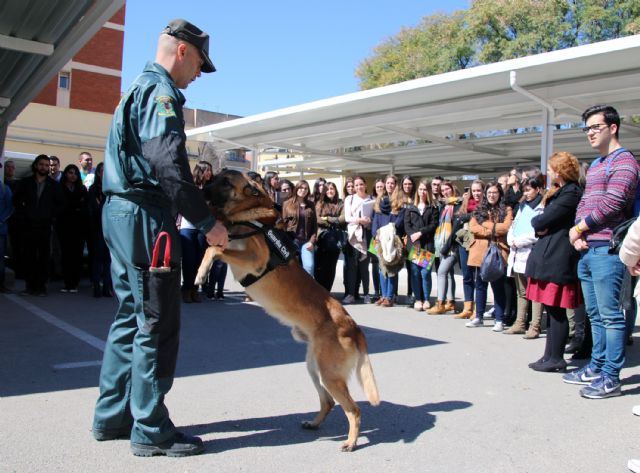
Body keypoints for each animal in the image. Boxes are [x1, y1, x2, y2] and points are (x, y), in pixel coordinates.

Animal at [196, 169, 380, 450]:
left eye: (226, 182)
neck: (248, 216)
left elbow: (214, 248)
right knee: (329, 402)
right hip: (314, 368)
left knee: (353, 409)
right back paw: (315, 424)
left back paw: (351, 441)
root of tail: (354, 327)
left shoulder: (254, 260)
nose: (201, 188)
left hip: (329, 375)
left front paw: (201, 272)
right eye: (216, 176)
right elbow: (214, 246)